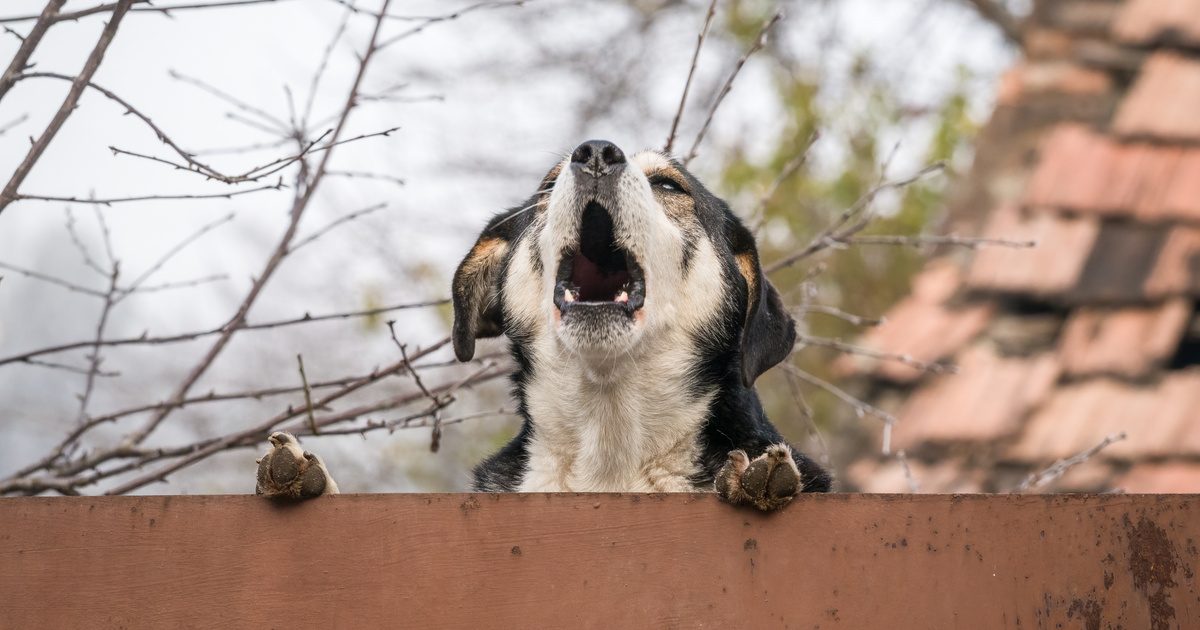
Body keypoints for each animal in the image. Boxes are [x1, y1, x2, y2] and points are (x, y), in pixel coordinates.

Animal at [254, 139, 830, 508]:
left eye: (668, 184)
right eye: (548, 186)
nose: (595, 152)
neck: (608, 440)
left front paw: (753, 481)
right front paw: (306, 478)